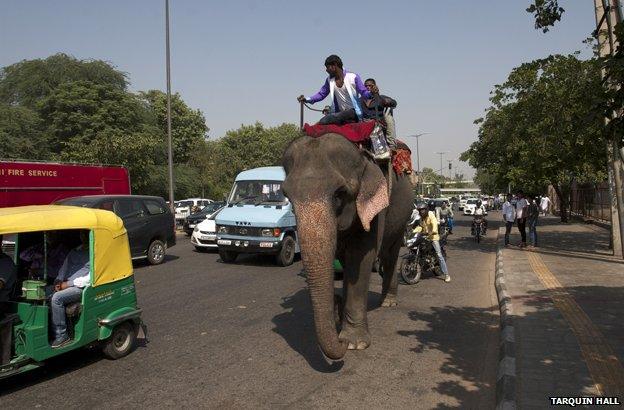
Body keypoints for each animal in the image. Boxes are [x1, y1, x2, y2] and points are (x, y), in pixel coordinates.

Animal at [282, 134, 414, 358]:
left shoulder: (374, 210)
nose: (340, 341)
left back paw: (388, 302)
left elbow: (360, 257)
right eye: (288, 197)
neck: (362, 158)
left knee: (390, 253)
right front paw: (340, 317)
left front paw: (353, 343)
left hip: (402, 216)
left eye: (339, 195)